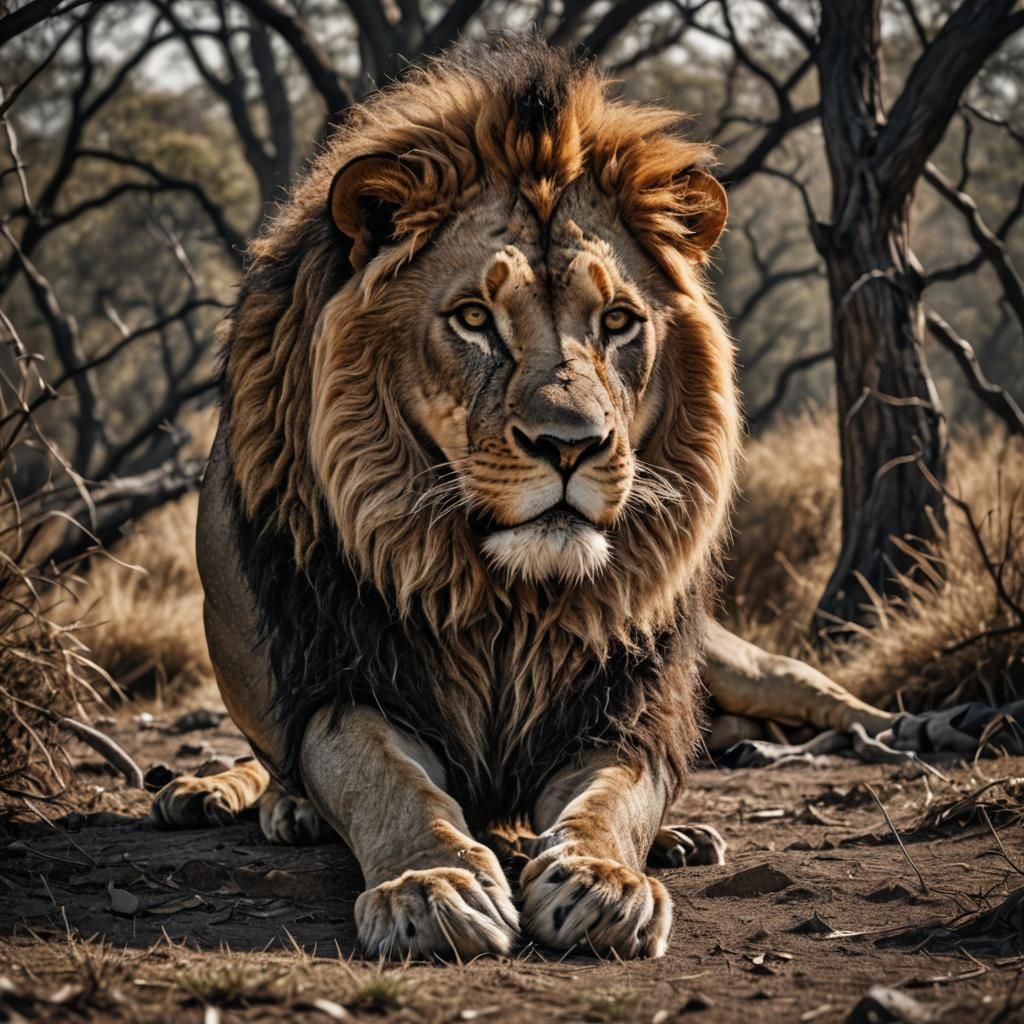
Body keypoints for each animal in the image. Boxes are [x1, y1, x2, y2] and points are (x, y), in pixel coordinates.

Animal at [152, 37, 773, 960]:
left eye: (618, 322)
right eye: (475, 318)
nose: (570, 444)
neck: (507, 603)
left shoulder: (624, 702)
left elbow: (612, 800)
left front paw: (603, 879)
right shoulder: (351, 679)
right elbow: (388, 784)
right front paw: (431, 885)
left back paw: (680, 838)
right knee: (272, 755)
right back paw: (269, 802)